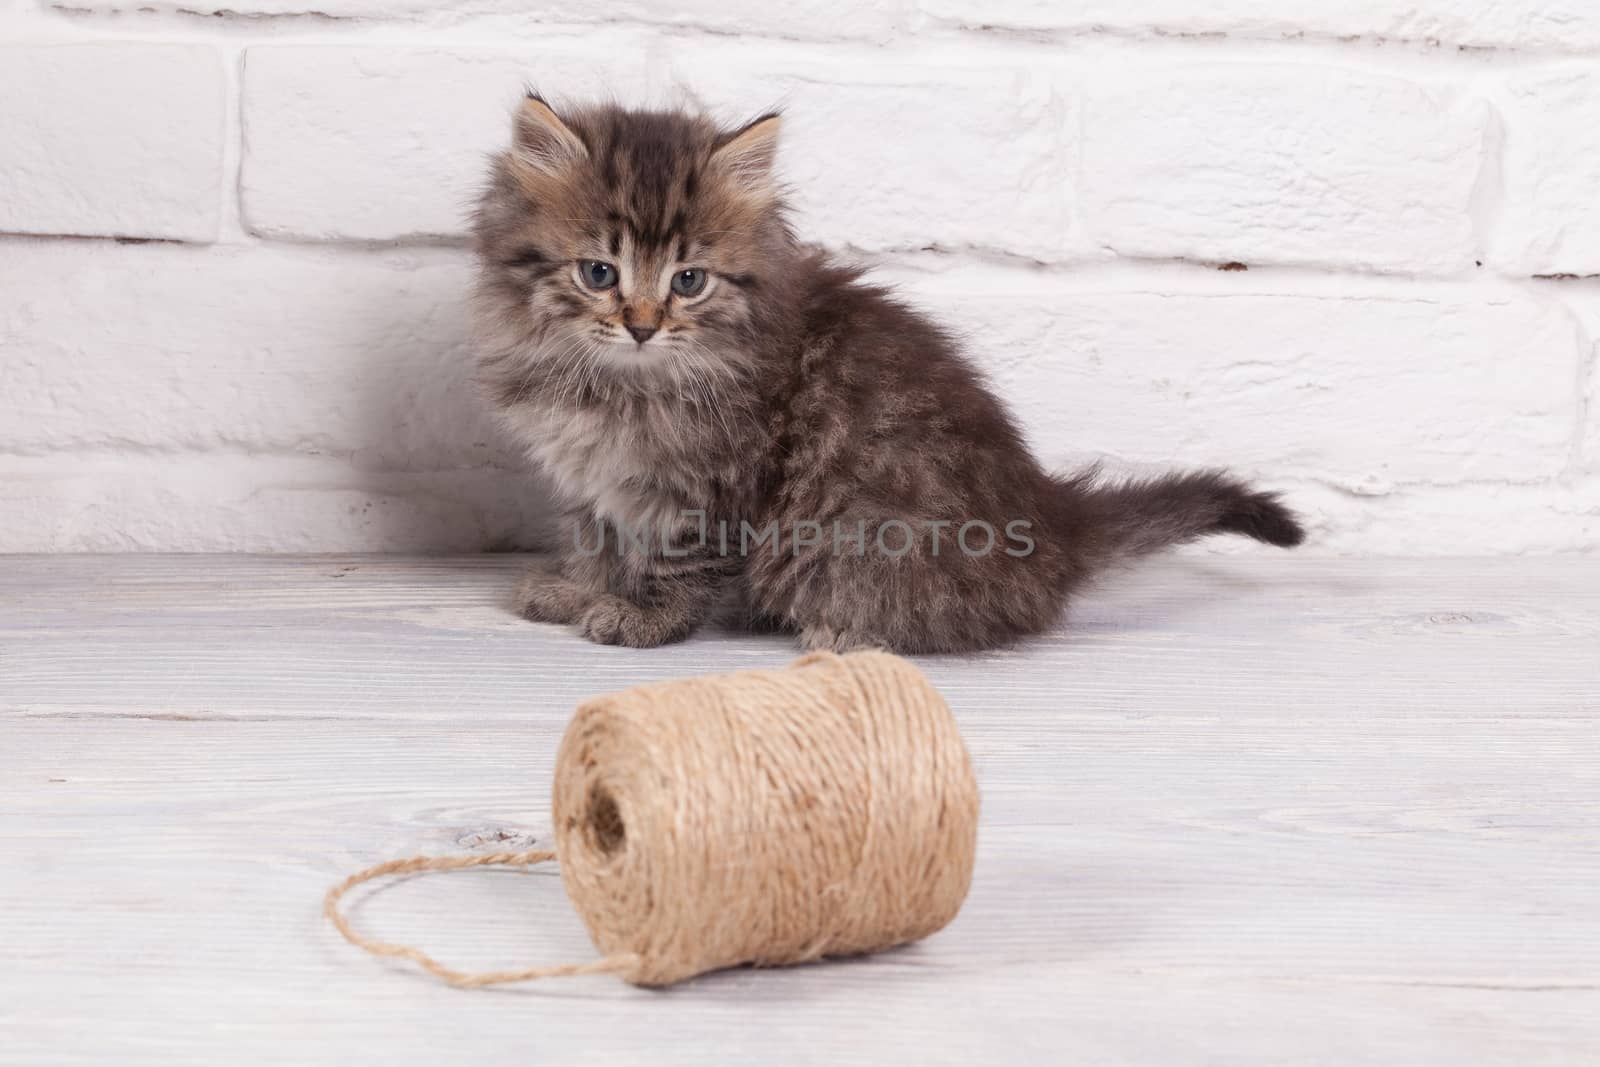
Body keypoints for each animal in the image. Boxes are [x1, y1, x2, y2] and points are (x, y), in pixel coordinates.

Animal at [467, 99, 1299, 655]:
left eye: (690, 281)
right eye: (599, 273)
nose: (642, 323)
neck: (614, 380)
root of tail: (1054, 525)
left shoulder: (712, 484)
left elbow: (682, 561)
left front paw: (645, 617)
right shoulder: (591, 482)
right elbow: (596, 539)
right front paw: (579, 589)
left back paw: (842, 634)